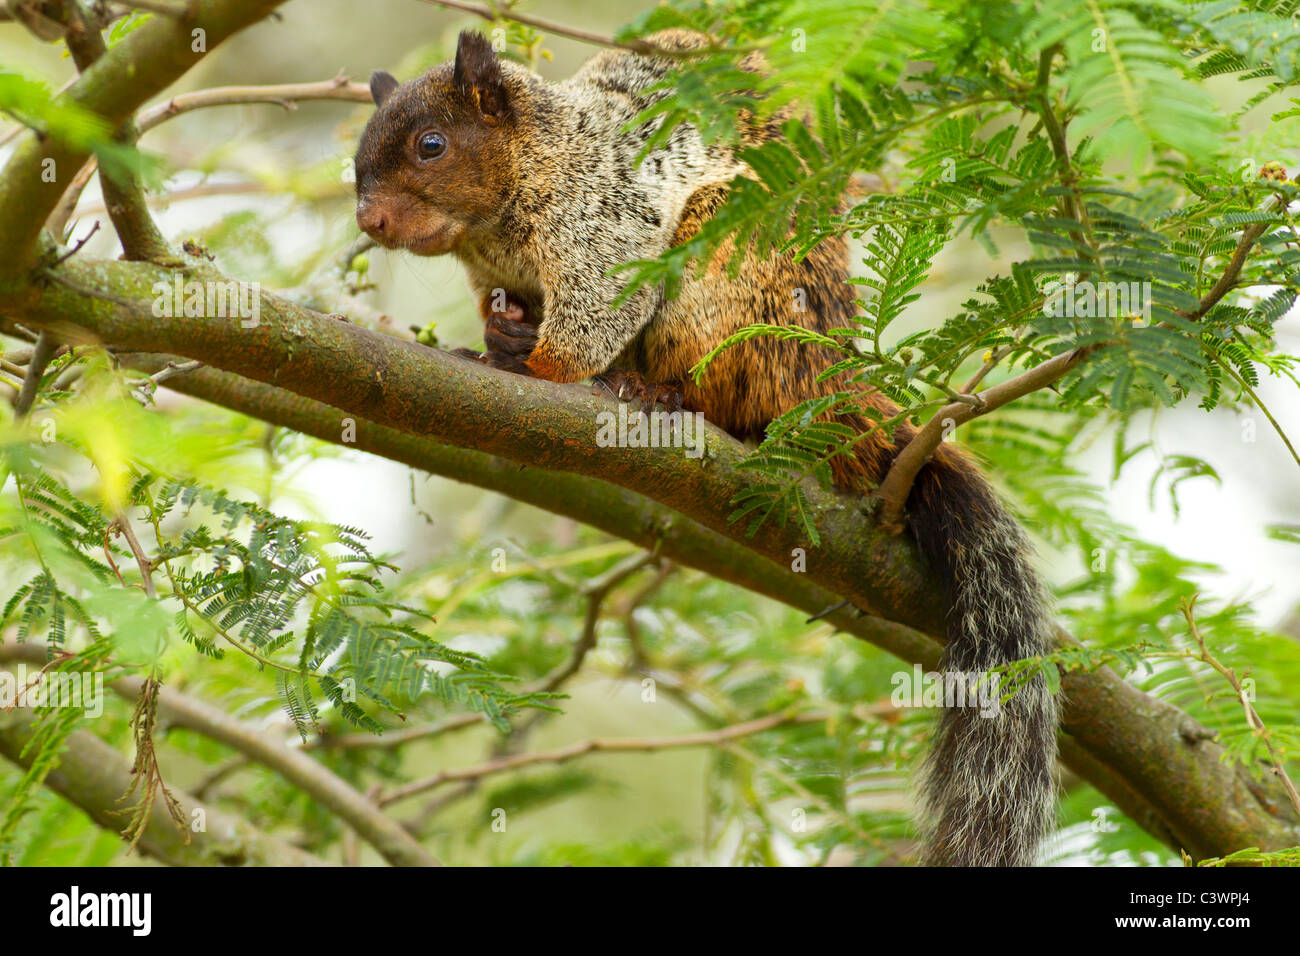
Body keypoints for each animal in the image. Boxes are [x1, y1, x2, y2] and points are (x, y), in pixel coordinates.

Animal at [353, 29, 1058, 867]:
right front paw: (492, 340)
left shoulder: (608, 228)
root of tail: (828, 380)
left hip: (727, 265)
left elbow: (594, 316)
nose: (368, 221)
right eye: (360, 157)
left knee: (723, 392)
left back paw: (659, 393)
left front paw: (538, 367)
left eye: (431, 145)